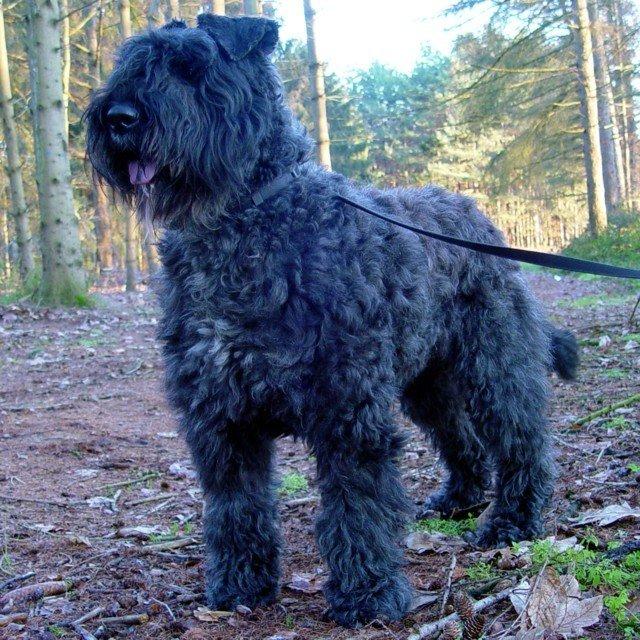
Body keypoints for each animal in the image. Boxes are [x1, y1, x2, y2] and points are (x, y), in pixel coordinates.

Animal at [85, 13, 580, 624]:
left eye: (193, 68)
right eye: (130, 63)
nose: (119, 117)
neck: (242, 227)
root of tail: (475, 216)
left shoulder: (347, 408)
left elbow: (355, 504)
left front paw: (367, 594)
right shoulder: (219, 417)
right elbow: (236, 506)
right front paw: (239, 585)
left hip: (493, 367)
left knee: (520, 442)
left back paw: (512, 522)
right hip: (428, 384)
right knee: (460, 439)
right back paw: (456, 500)